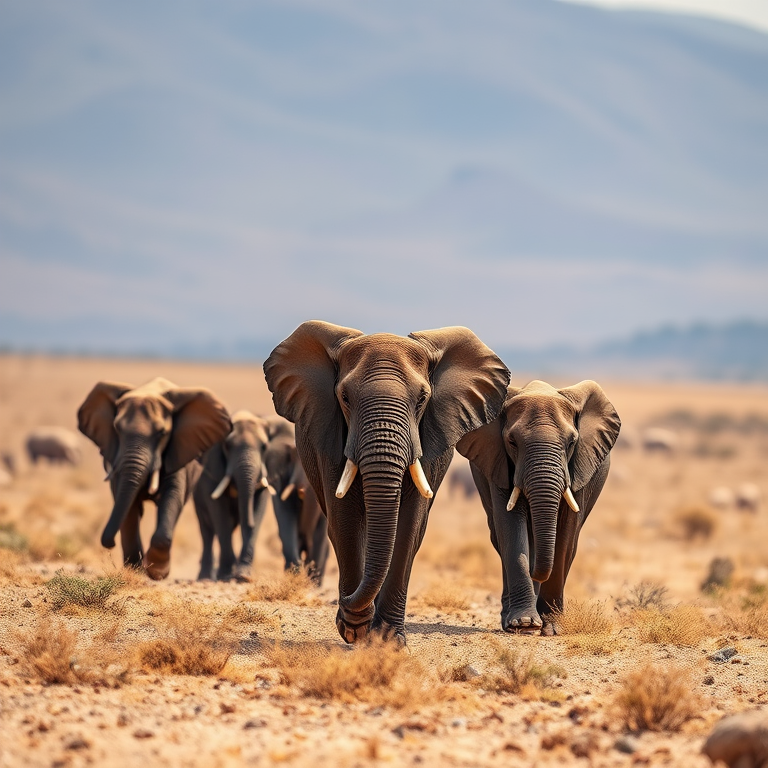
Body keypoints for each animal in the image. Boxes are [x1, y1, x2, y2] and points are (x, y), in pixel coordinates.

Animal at [77, 377, 231, 579]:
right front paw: (135, 570)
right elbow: (129, 507)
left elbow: (172, 496)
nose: (109, 544)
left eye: (162, 433)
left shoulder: (178, 449)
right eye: (117, 429)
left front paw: (157, 571)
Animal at [193, 411, 272, 582]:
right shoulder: (213, 471)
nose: (249, 523)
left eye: (264, 447)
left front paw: (243, 576)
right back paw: (205, 577)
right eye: (227, 446)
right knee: (207, 531)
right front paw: (226, 575)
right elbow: (220, 513)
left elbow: (258, 506)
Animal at [457, 380, 620, 635]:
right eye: (512, 442)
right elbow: (510, 527)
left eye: (572, 442)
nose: (535, 570)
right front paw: (523, 624)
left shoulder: (579, 468)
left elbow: (565, 534)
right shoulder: (498, 462)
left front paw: (552, 628)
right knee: (499, 537)